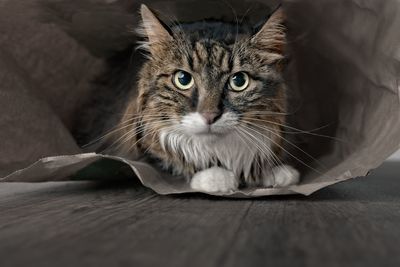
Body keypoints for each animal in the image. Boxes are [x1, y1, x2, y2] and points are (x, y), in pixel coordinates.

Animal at [74, 3, 300, 193]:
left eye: (239, 81)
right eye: (183, 79)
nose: (209, 116)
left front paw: (274, 172)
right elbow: (168, 164)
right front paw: (216, 177)